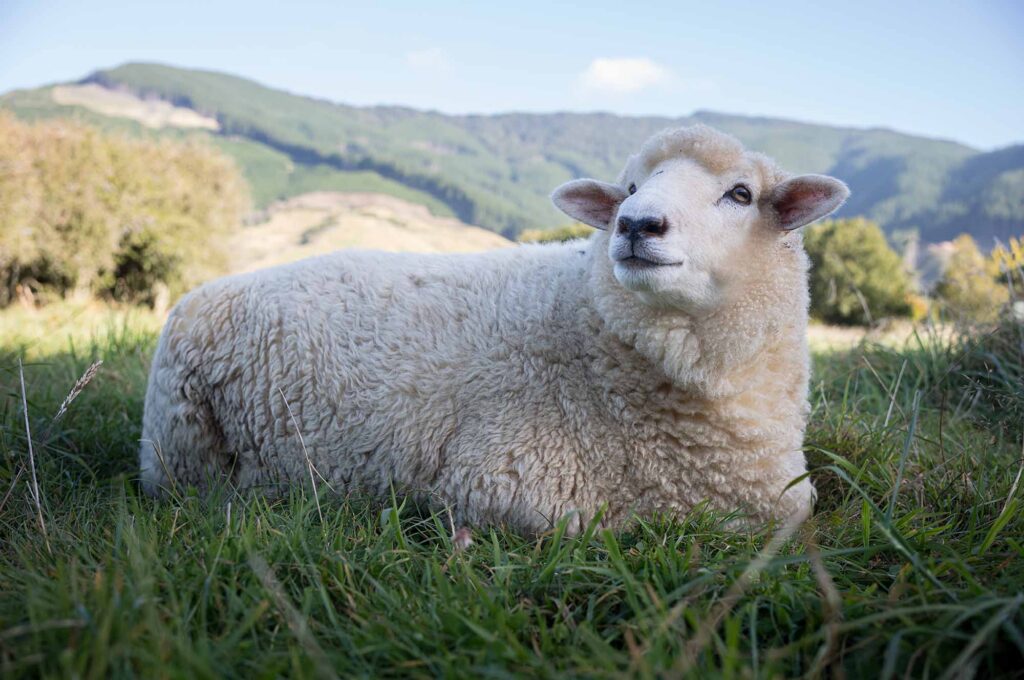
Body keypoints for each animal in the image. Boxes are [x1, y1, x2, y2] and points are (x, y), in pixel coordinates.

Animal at [139, 124, 849, 534]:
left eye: (740, 194)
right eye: (628, 188)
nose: (635, 224)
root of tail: (200, 294)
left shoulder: (778, 498)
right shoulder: (504, 477)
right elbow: (582, 525)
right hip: (179, 453)